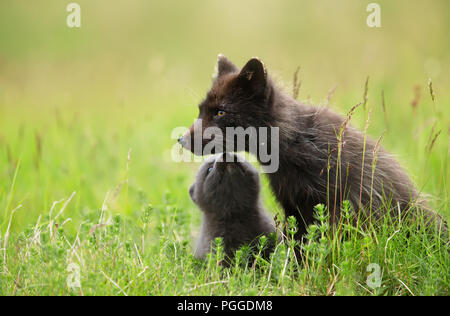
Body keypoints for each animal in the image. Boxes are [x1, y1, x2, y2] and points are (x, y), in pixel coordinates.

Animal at [178, 55, 442, 239]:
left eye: (220, 112)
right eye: (200, 110)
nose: (181, 140)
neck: (296, 141)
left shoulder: (338, 205)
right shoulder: (294, 207)